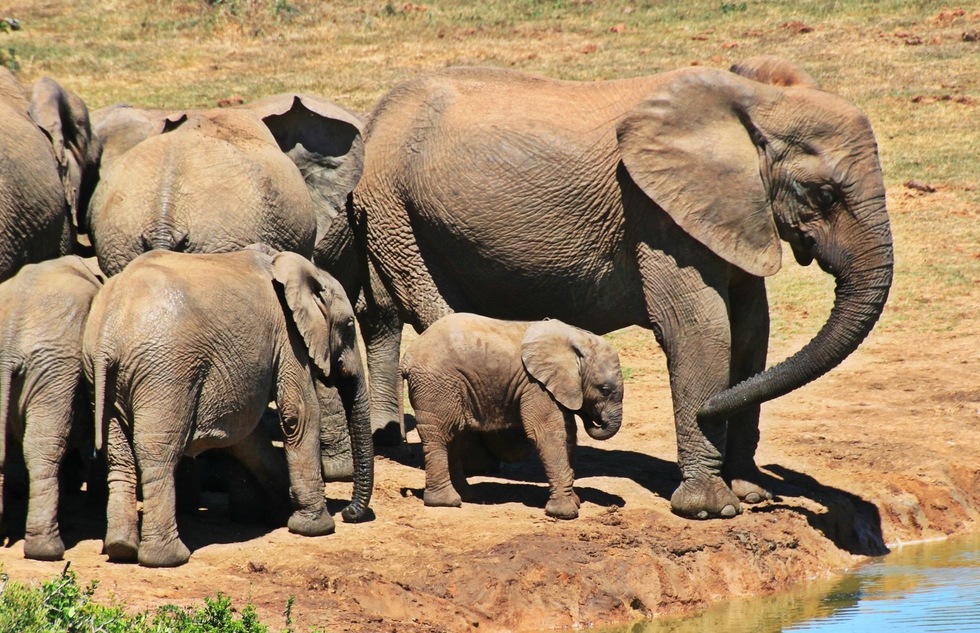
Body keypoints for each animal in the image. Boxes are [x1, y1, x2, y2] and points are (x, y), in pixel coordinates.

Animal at [79, 247, 372, 568]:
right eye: (349, 327)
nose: (351, 514)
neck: (299, 268)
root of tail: (108, 336)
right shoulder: (287, 335)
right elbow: (299, 414)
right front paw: (316, 528)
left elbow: (248, 437)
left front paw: (281, 512)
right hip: (165, 373)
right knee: (158, 454)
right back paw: (168, 559)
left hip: (101, 375)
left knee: (119, 457)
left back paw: (120, 549)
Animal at [400, 312, 624, 520]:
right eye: (604, 390)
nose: (594, 419)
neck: (577, 338)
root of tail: (407, 357)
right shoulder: (536, 385)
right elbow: (548, 434)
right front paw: (565, 513)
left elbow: (568, 434)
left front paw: (575, 501)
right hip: (436, 385)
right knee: (439, 435)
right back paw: (446, 502)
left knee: (452, 436)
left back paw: (466, 495)